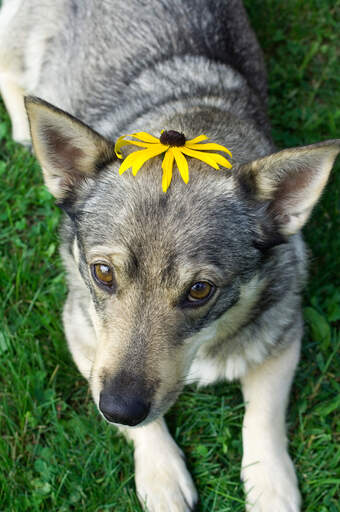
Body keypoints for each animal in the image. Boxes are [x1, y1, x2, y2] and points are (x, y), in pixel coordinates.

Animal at [1, 1, 338, 512]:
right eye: (102, 273)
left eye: (200, 290)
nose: (119, 409)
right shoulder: (81, 331)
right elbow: (143, 426)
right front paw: (160, 472)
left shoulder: (283, 329)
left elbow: (263, 416)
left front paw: (270, 484)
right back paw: (23, 125)